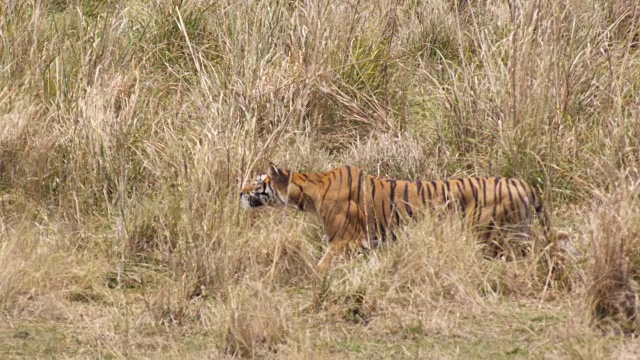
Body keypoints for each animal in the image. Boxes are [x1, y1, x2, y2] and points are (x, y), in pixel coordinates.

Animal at [242, 163, 552, 270]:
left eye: (259, 182)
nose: (240, 192)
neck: (310, 193)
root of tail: (524, 184)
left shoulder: (344, 240)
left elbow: (322, 266)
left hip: (495, 235)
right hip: (521, 231)